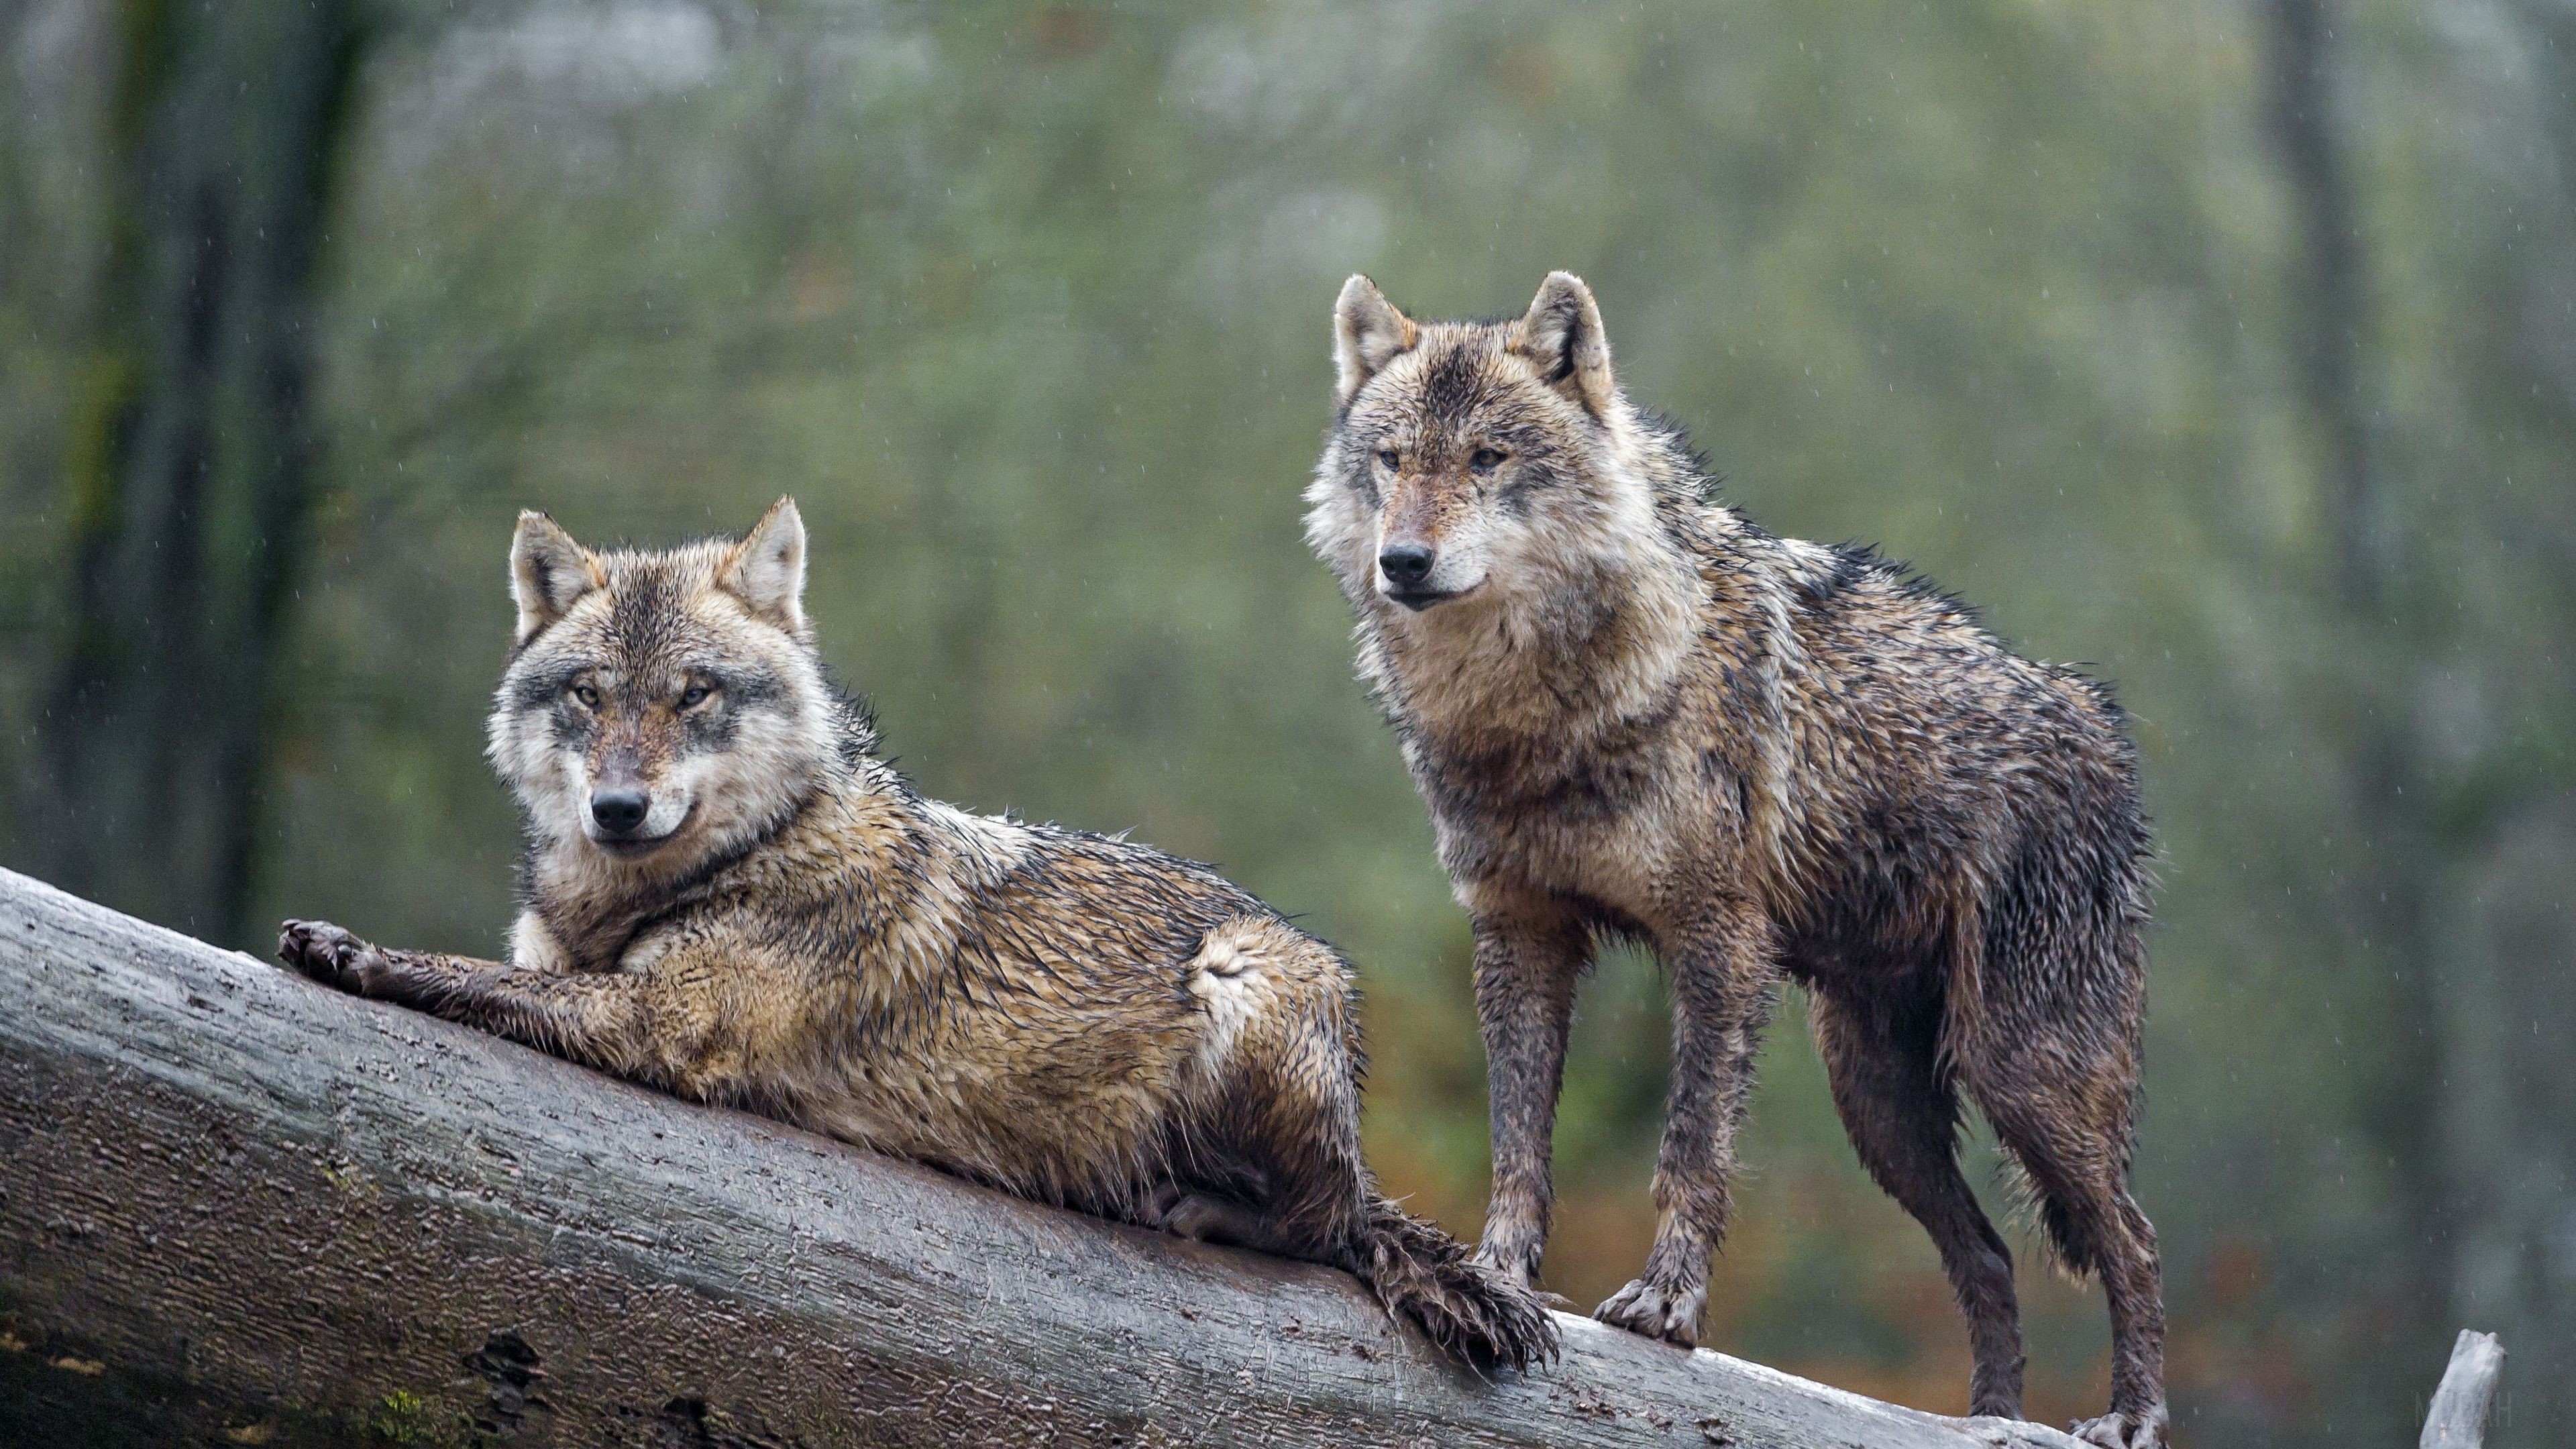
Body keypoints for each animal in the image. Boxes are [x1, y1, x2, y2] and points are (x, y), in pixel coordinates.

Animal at [275, 499, 1555, 1370]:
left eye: (695, 694)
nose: (618, 809)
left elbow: (459, 974)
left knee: (1325, 1225)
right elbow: (500, 970)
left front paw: (352, 951)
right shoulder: (576, 965)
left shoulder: (664, 1022)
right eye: (591, 695)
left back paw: (1196, 1206)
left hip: (1245, 981)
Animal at [1304, 273, 2167, 1446]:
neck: (1538, 712)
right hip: (1878, 1105)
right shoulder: (1519, 934)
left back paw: (2133, 1419)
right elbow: (1517, 1146)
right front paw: (1499, 1279)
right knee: (1990, 1257)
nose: (1403, 562)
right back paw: (1986, 1421)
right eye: (1394, 460)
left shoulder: (1717, 941)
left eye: (1485, 458)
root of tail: (2099, 726)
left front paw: (1668, 1308)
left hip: (2021, 1074)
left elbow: (1692, 1151)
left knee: (2134, 1240)